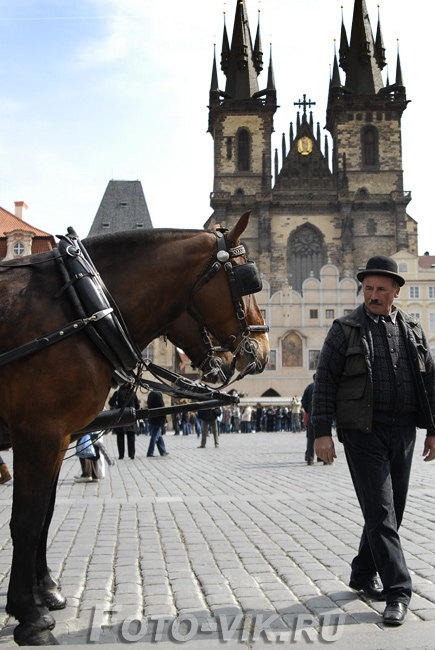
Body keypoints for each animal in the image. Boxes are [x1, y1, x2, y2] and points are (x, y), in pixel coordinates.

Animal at [0, 213, 270, 644]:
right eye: (248, 281)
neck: (84, 304)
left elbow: (45, 513)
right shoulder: (38, 434)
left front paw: (46, 592)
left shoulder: (57, 439)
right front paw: (30, 615)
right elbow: (27, 519)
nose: (261, 352)